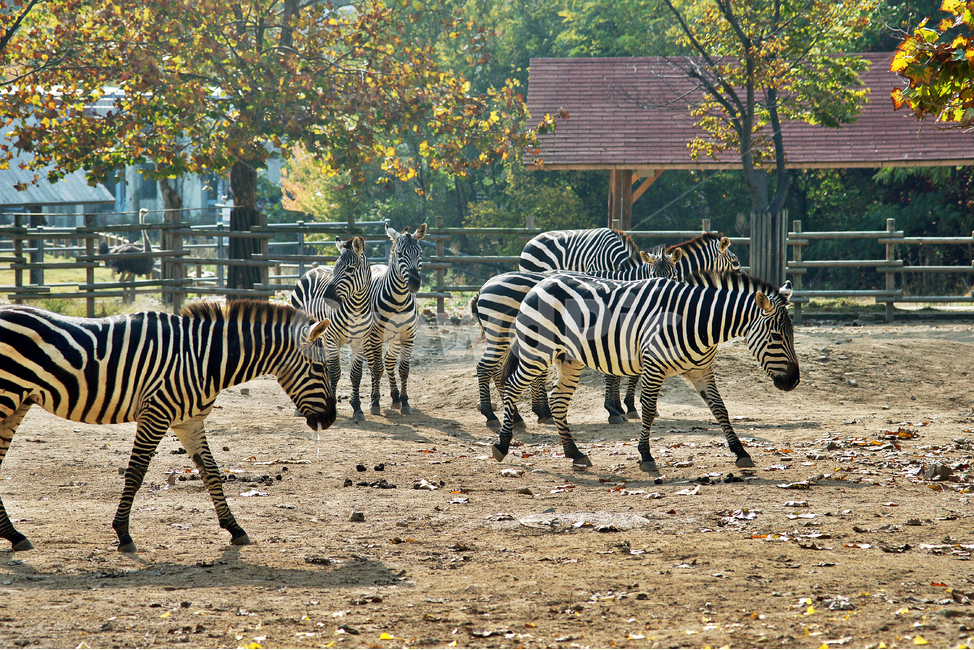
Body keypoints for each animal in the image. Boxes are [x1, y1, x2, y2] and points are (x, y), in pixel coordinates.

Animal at [0, 300, 336, 553]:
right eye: (319, 368)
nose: (330, 420)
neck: (204, 358)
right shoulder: (155, 413)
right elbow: (136, 473)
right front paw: (123, 534)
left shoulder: (189, 422)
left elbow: (211, 472)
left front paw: (234, 528)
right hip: (7, 396)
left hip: (18, 403)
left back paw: (14, 535)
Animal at [290, 236, 373, 421]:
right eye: (334, 268)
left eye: (350, 269)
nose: (327, 297)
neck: (356, 308)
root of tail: (313, 269)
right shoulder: (333, 339)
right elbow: (335, 372)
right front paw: (333, 404)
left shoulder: (360, 341)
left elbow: (356, 374)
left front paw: (357, 408)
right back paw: (299, 408)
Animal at [367, 222, 427, 416]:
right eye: (400, 254)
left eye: (420, 253)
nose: (415, 283)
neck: (399, 300)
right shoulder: (376, 336)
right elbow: (377, 368)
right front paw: (375, 402)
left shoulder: (408, 335)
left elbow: (404, 370)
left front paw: (405, 401)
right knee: (373, 364)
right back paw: (374, 397)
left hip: (394, 338)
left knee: (389, 360)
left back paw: (395, 397)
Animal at [472, 247, 683, 430]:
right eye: (653, 276)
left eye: (673, 277)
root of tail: (483, 287)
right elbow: (616, 374)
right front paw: (619, 409)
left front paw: (622, 408)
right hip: (502, 334)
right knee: (485, 368)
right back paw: (492, 416)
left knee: (498, 372)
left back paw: (518, 417)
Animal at [492, 271, 800, 474]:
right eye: (776, 336)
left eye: (792, 334)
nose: (793, 382)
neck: (696, 322)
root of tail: (540, 282)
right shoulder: (654, 366)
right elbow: (649, 410)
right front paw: (646, 455)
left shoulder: (701, 370)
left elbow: (720, 409)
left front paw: (740, 452)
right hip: (537, 350)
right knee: (512, 387)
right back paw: (503, 444)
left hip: (569, 359)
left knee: (558, 401)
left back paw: (574, 453)